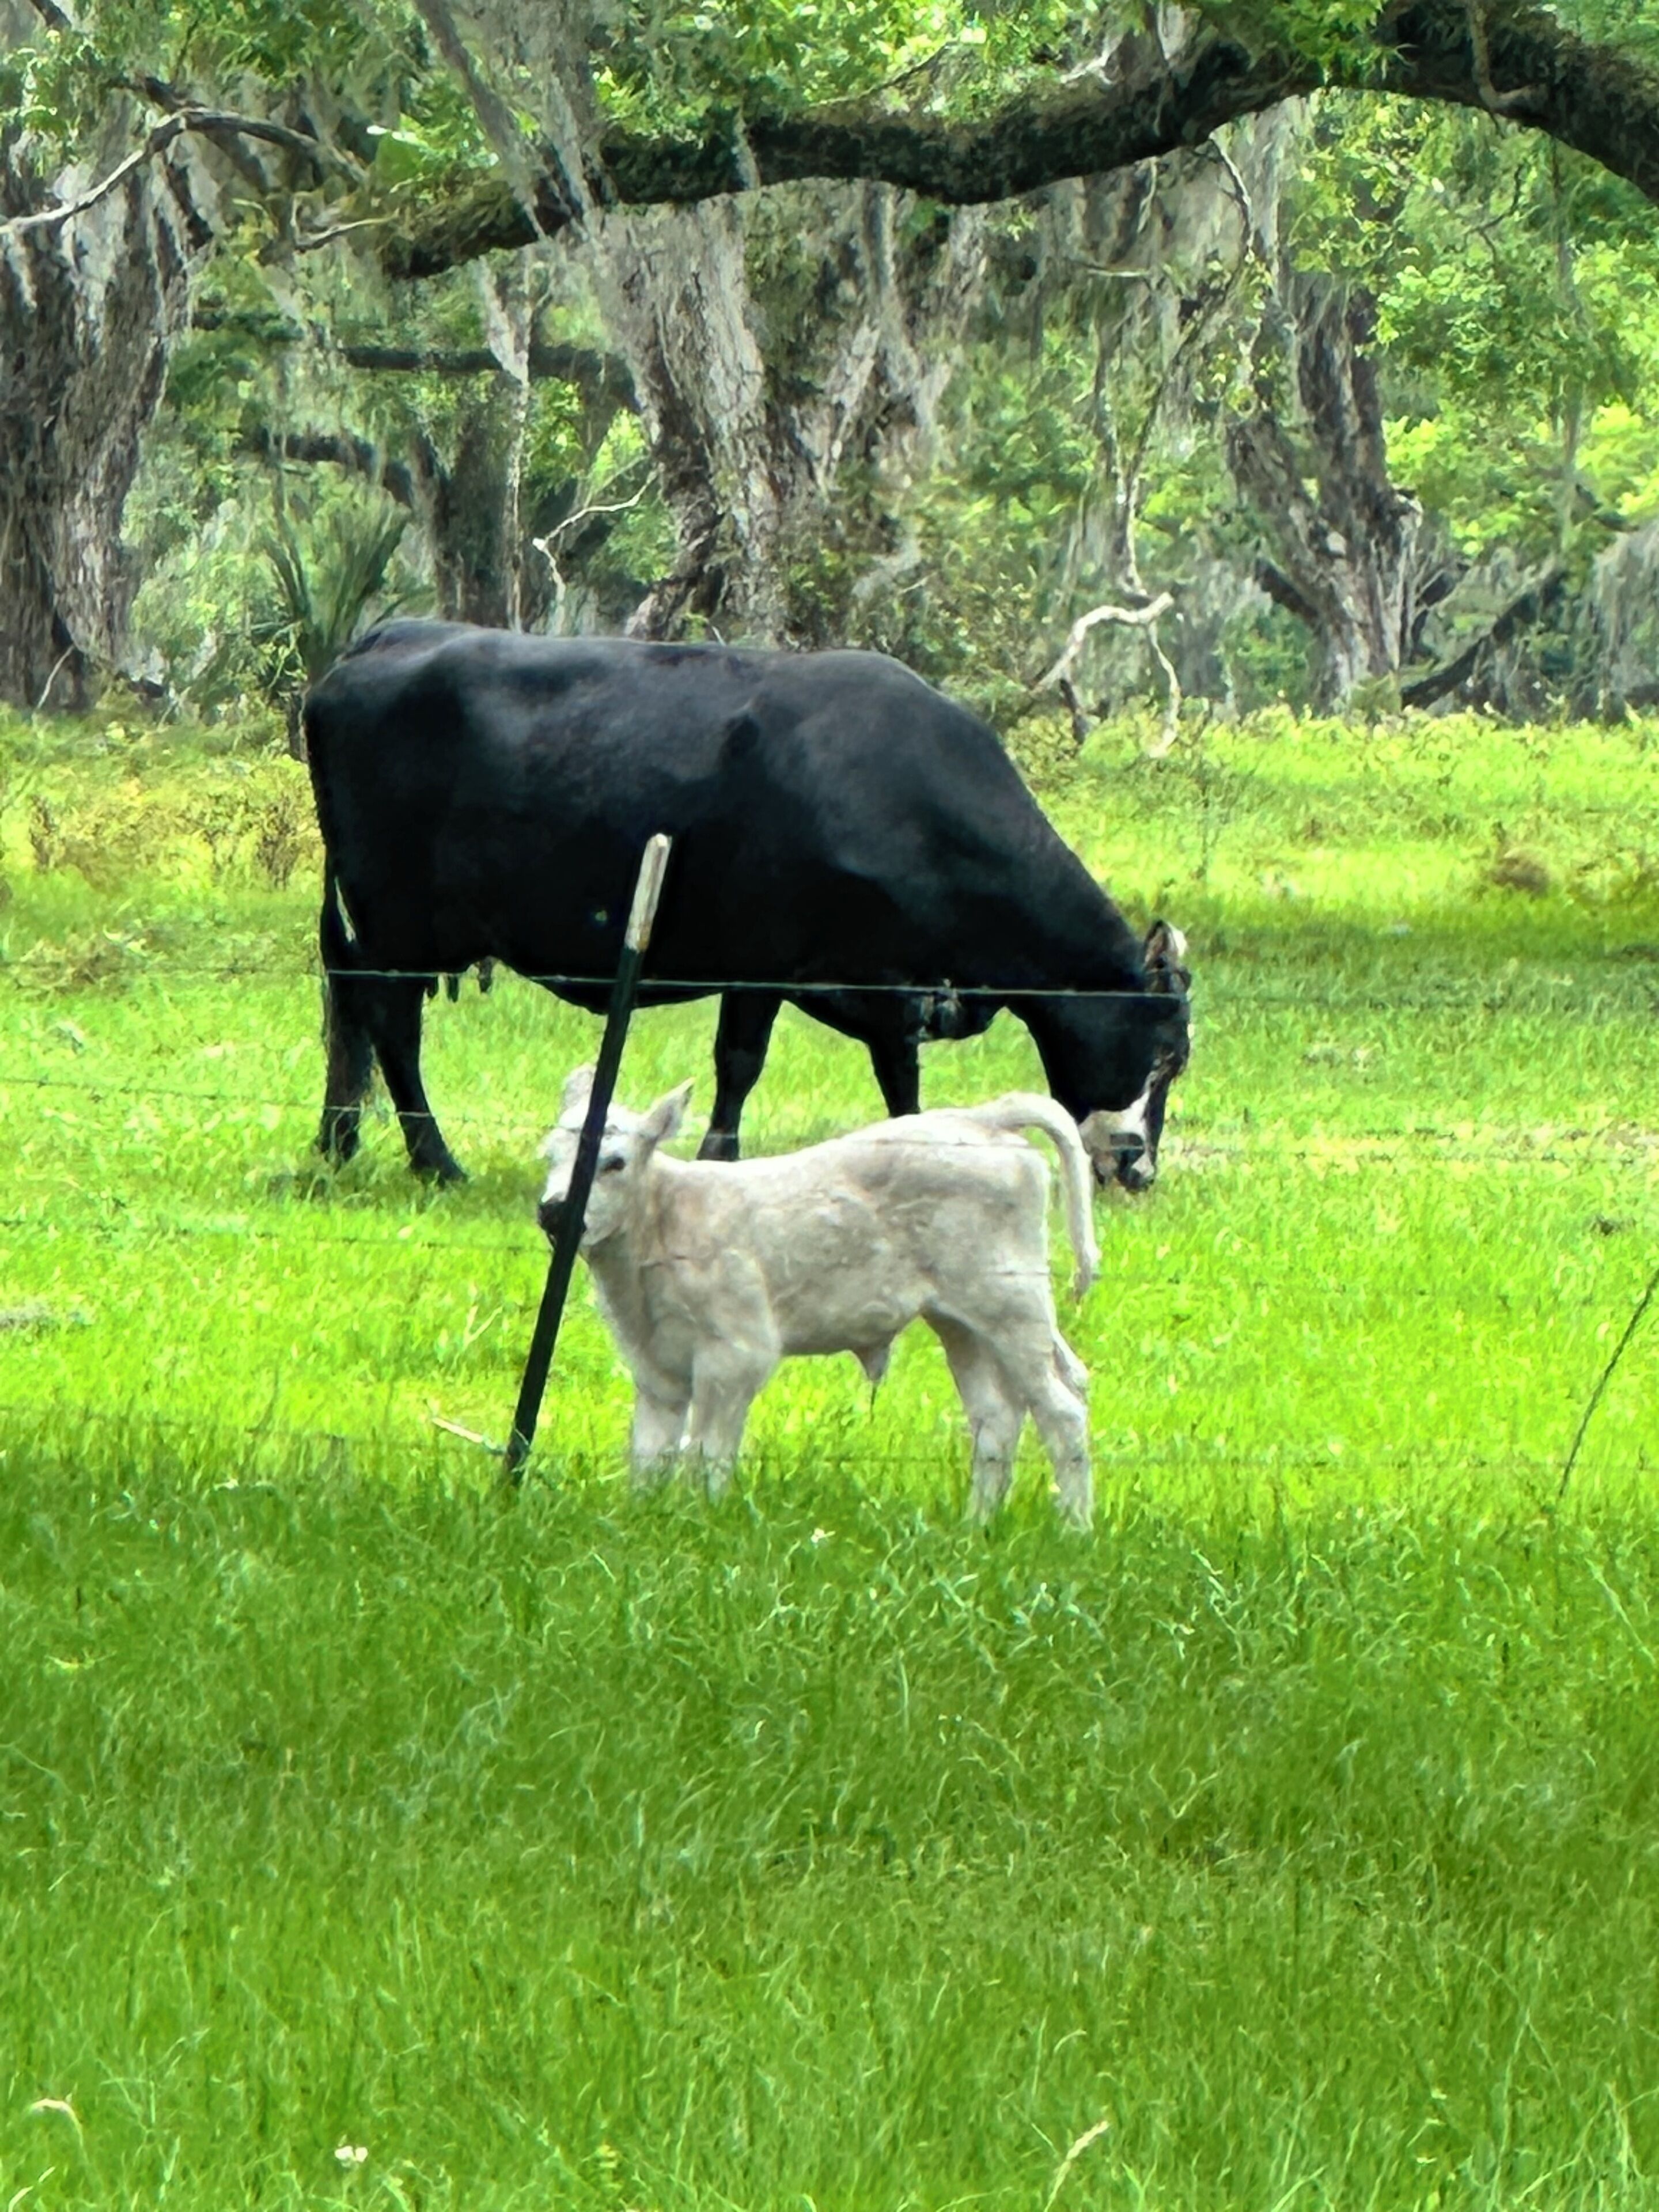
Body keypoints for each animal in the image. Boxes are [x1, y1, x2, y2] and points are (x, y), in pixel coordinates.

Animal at [303, 621, 1191, 1189]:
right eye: (1166, 1056)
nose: (1139, 1168)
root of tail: (382, 637)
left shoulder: (884, 979)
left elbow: (899, 1073)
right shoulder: (764, 953)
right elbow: (740, 1061)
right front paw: (720, 1155)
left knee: (352, 1007)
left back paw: (339, 1140)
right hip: (397, 922)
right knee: (392, 1027)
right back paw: (435, 1161)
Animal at [539, 1069, 1101, 1526]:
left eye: (614, 1163)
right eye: (550, 1155)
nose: (553, 1211)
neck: (663, 1221)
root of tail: (984, 1117)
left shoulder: (736, 1354)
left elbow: (708, 1453)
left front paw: (705, 1521)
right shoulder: (657, 1368)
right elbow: (650, 1456)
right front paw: (644, 1521)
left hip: (1012, 1304)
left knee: (1062, 1411)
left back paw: (1076, 1529)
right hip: (961, 1323)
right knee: (997, 1418)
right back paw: (975, 1527)